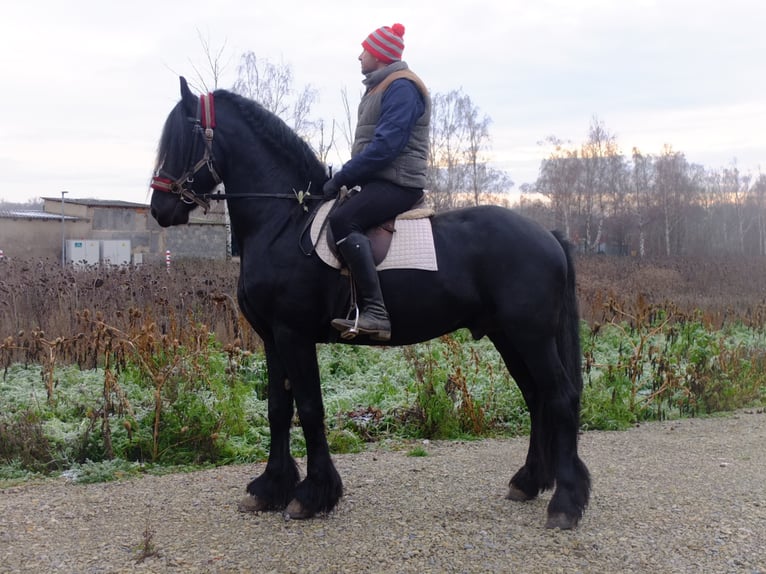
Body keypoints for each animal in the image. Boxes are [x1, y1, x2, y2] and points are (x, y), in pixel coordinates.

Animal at [152, 77, 592, 532]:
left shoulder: (293, 335)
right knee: (537, 396)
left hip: (531, 336)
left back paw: (564, 502)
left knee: (560, 397)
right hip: (508, 336)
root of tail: (548, 235)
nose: (160, 208)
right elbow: (278, 408)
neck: (283, 223)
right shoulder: (272, 339)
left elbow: (309, 408)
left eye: (184, 136)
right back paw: (528, 482)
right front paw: (270, 487)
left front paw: (312, 495)